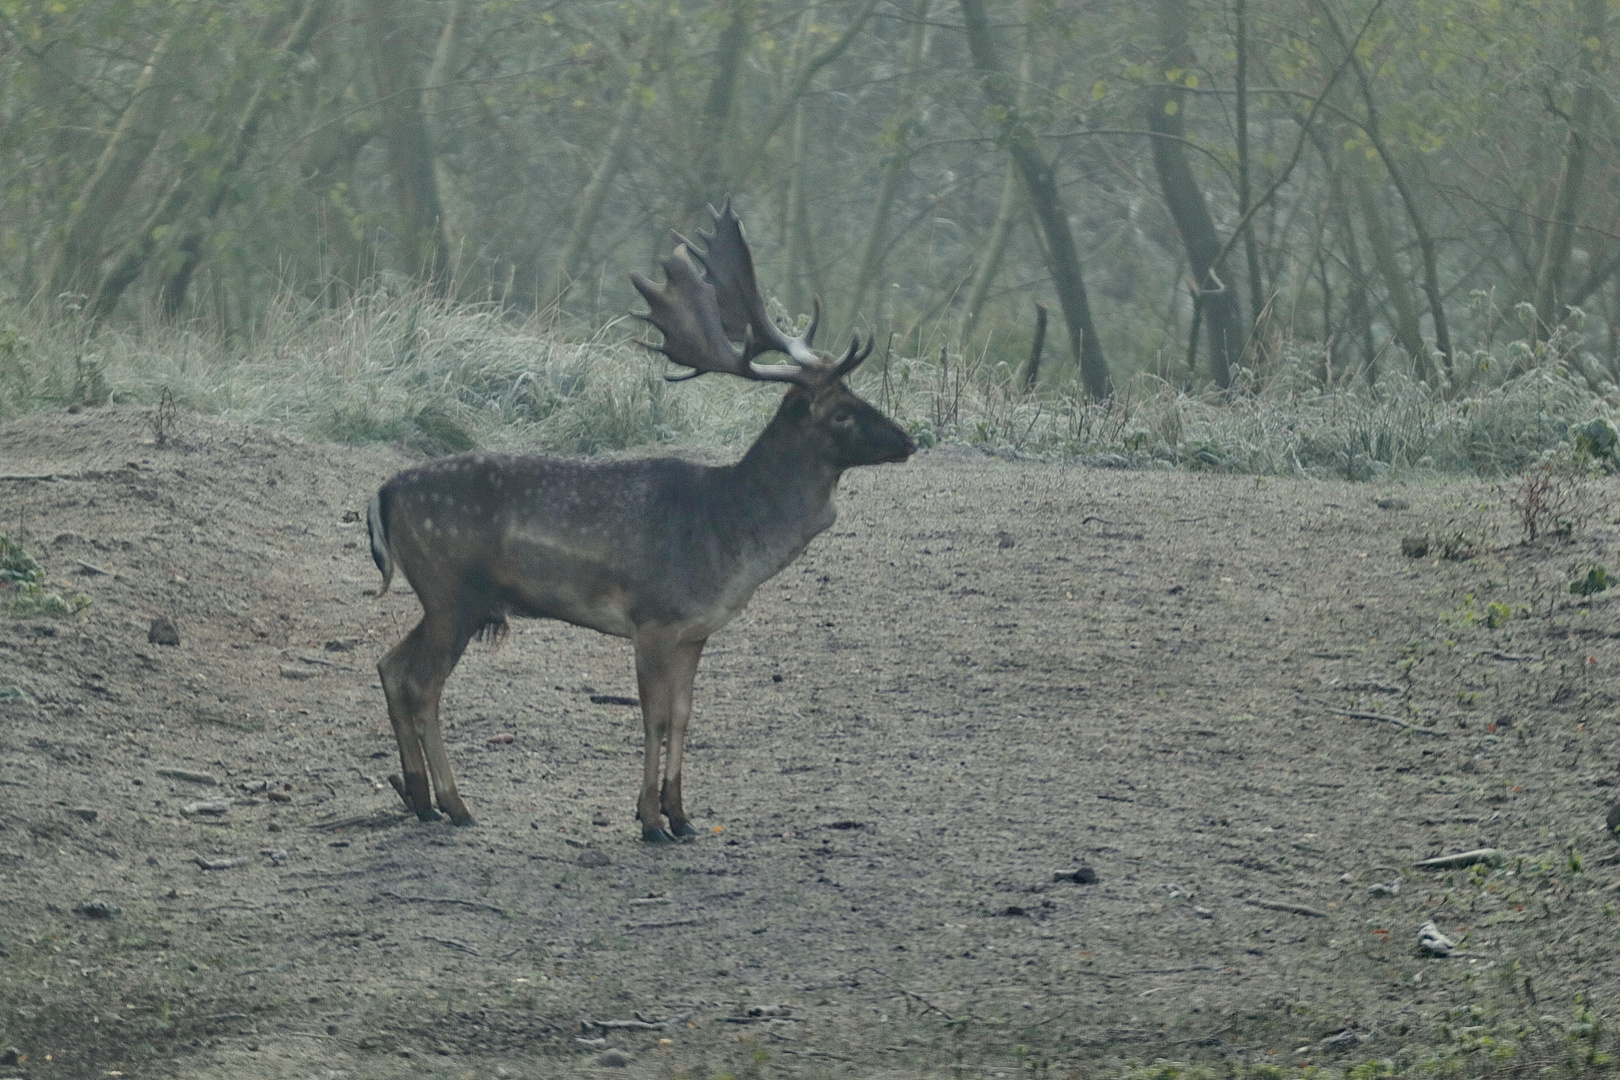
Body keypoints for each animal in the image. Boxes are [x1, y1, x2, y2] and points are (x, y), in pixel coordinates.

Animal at [367, 202, 920, 841]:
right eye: (843, 411)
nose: (910, 440)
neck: (731, 536)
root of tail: (383, 492)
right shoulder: (653, 616)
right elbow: (652, 717)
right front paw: (651, 821)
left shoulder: (695, 630)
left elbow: (681, 716)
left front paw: (681, 815)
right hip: (452, 594)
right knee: (422, 683)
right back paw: (454, 804)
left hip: (449, 600)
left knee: (389, 666)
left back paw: (419, 797)